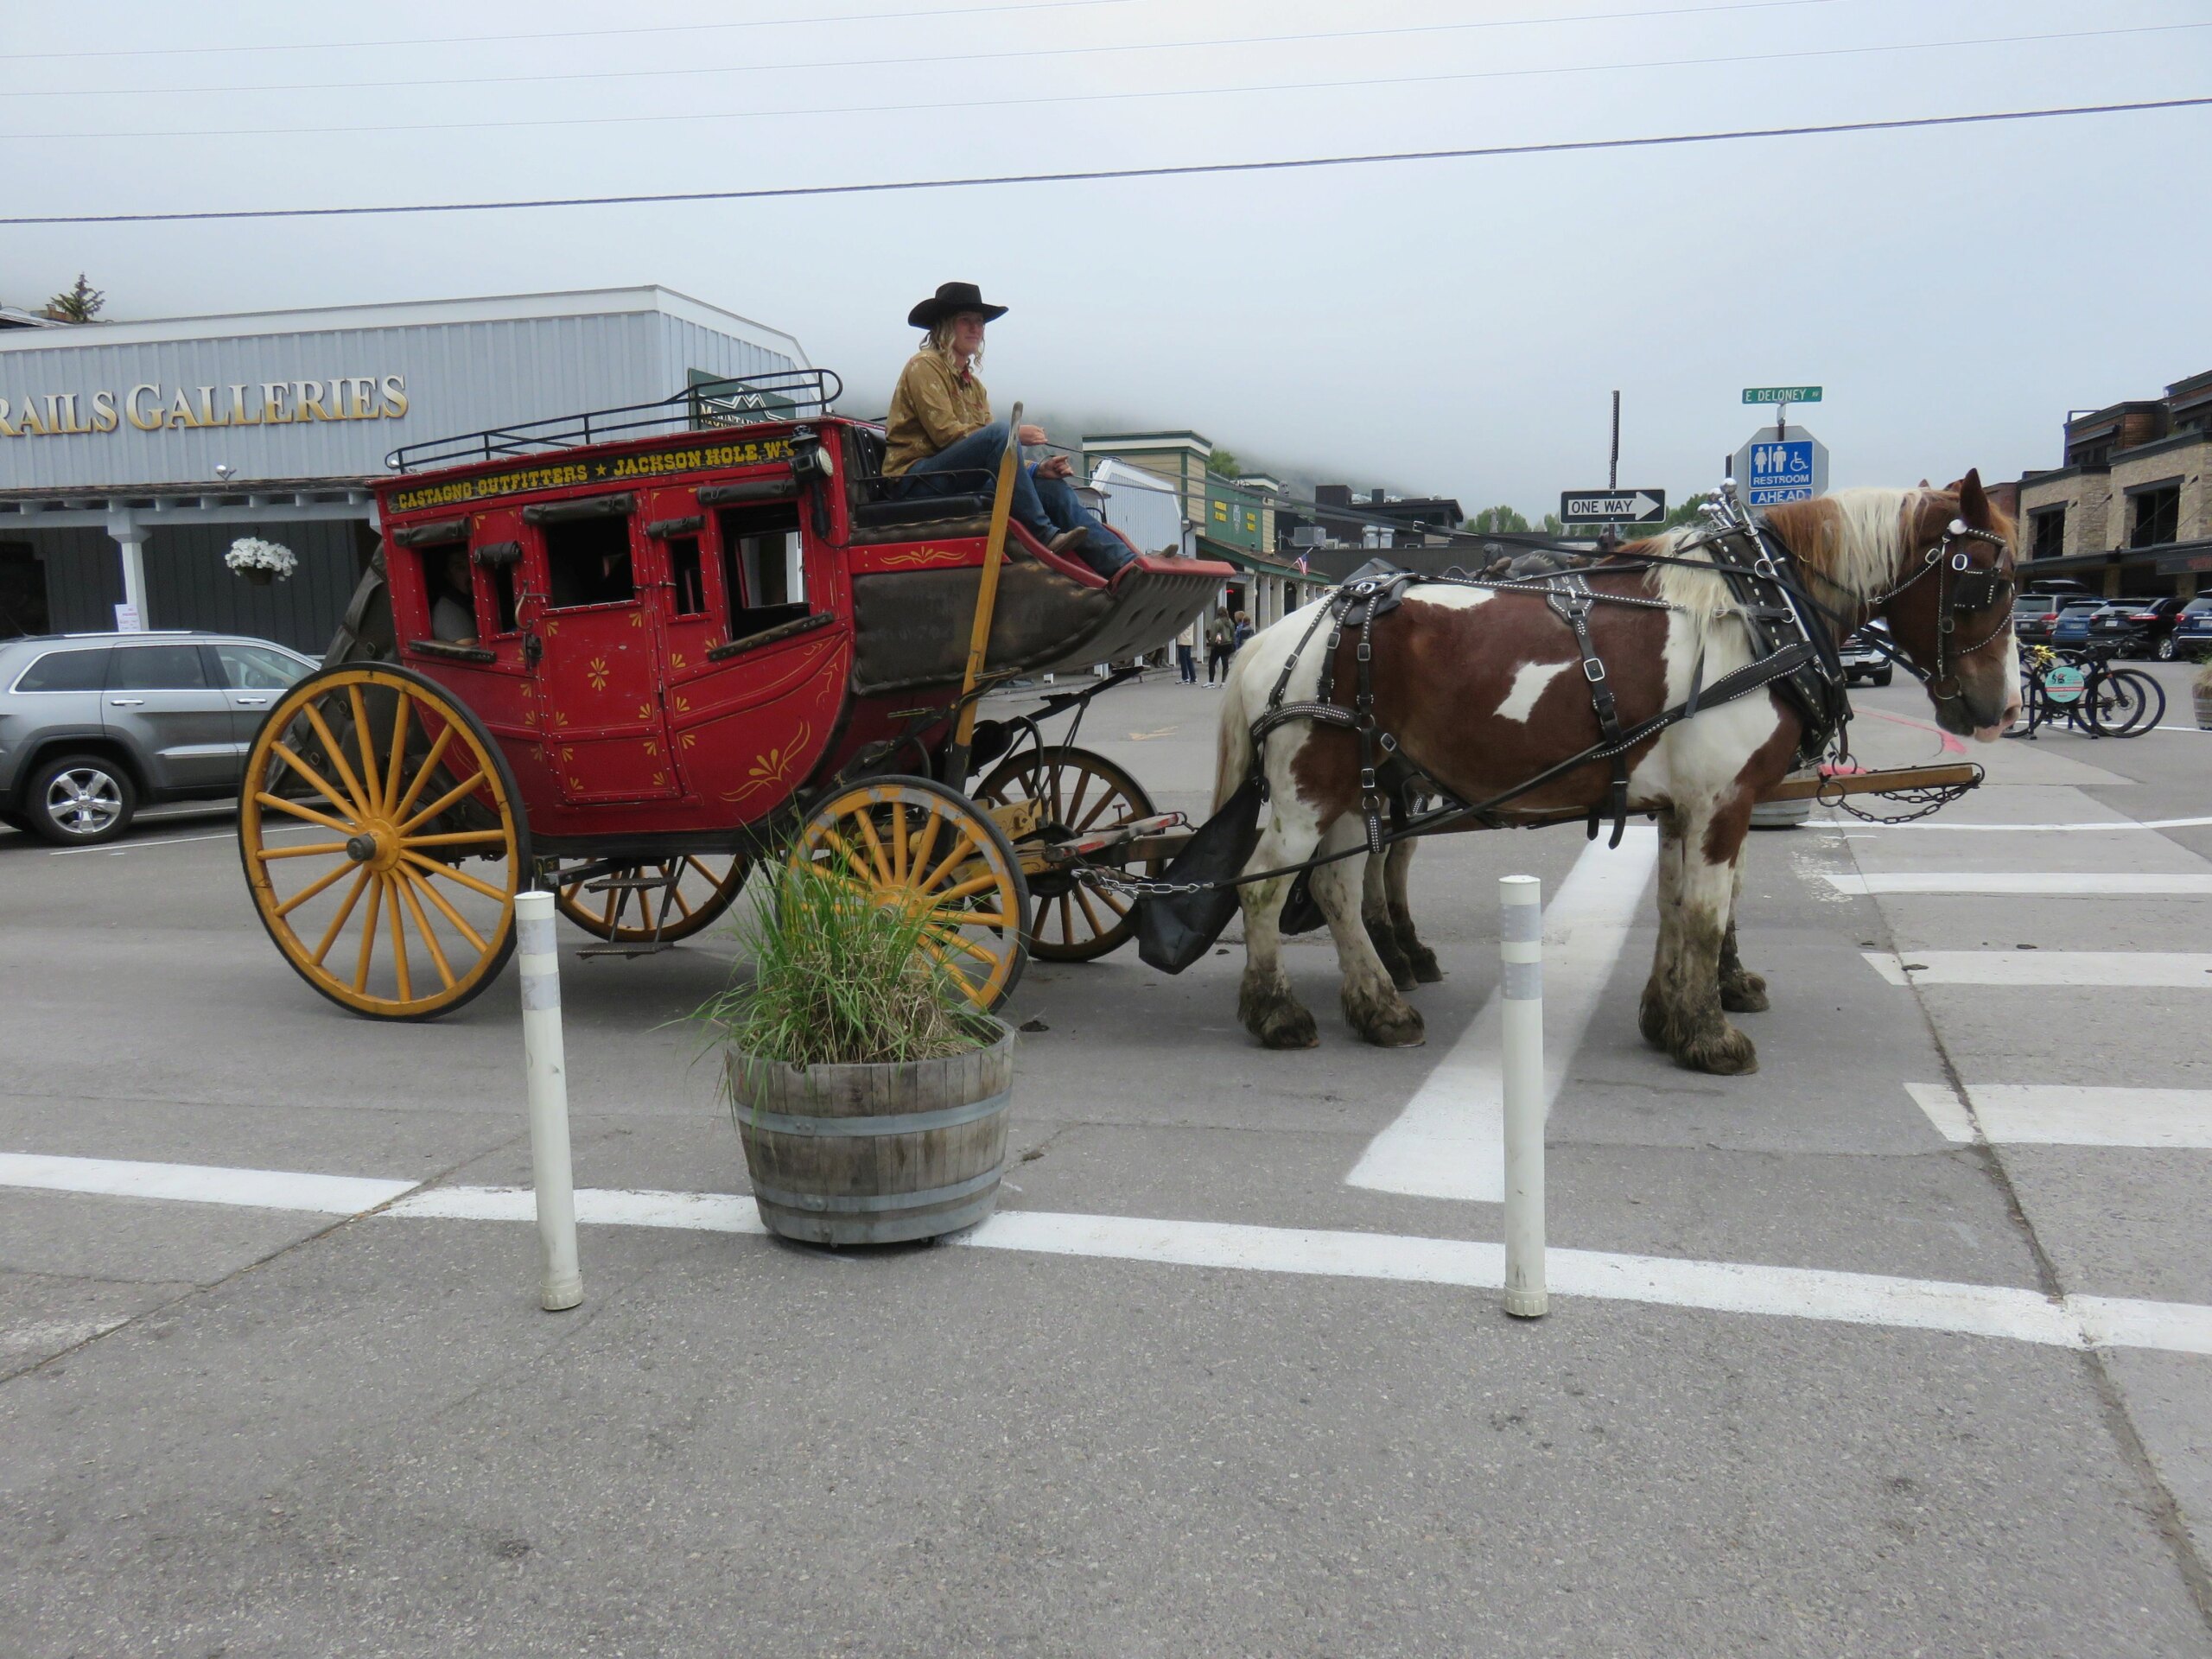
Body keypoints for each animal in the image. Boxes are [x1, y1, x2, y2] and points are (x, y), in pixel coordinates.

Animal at [1221, 473, 2017, 1071]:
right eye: (1990, 583)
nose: (2002, 709)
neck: (1762, 612)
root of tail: (1274, 635)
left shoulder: (1682, 806)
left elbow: (1675, 905)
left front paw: (1669, 1017)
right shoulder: (1722, 803)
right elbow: (1707, 911)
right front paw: (1711, 1035)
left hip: (1353, 786)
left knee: (1336, 889)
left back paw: (1380, 1006)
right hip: (1309, 791)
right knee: (1261, 887)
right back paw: (1275, 1010)